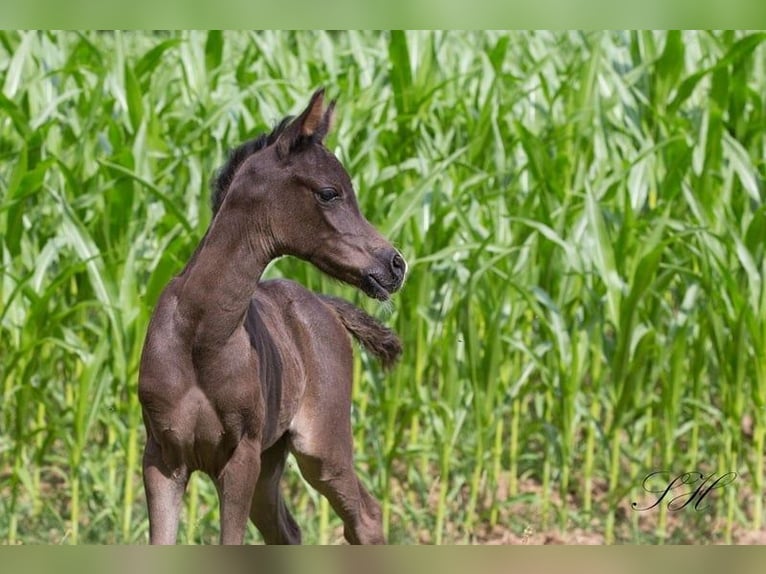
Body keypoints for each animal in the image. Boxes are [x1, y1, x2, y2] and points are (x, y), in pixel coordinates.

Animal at [138, 89, 406, 544]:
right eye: (329, 192)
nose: (395, 264)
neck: (198, 334)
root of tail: (325, 304)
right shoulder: (161, 457)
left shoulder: (240, 456)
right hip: (272, 460)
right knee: (288, 532)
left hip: (322, 448)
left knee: (366, 516)